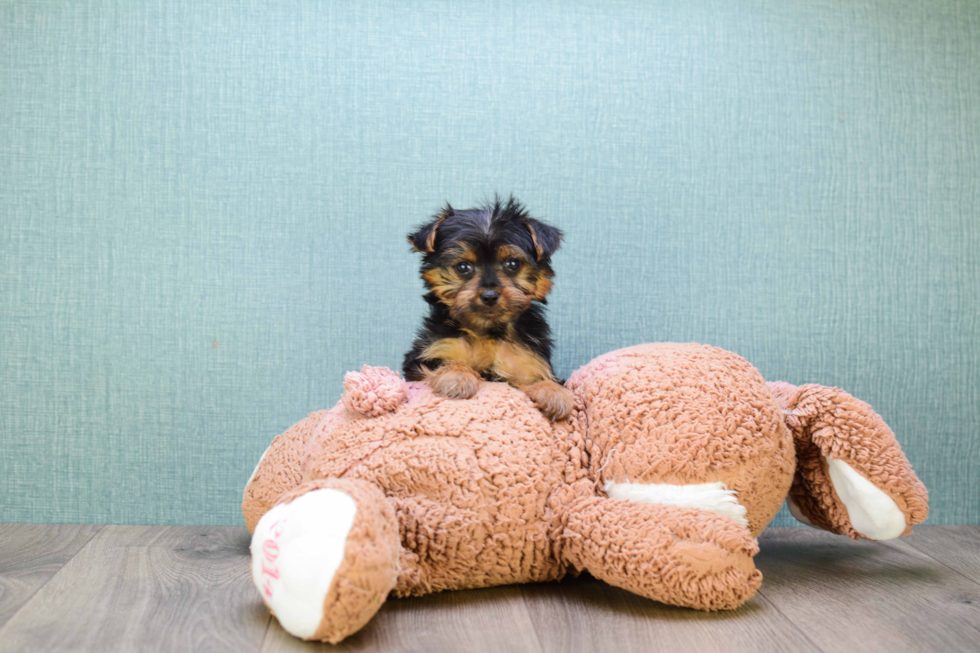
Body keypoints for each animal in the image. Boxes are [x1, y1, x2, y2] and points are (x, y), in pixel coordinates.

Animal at [404, 194, 576, 420]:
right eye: (463, 267)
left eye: (512, 264)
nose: (489, 295)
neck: (488, 330)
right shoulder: (427, 356)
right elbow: (449, 362)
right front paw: (457, 377)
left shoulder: (526, 363)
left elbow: (535, 380)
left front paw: (554, 392)